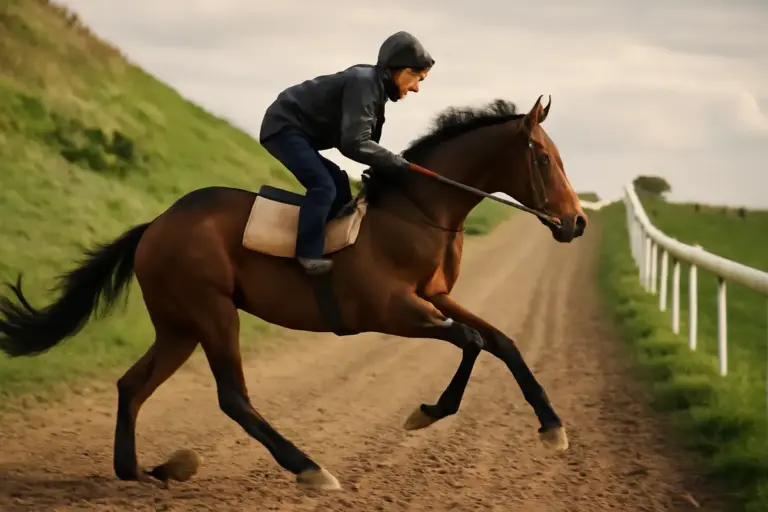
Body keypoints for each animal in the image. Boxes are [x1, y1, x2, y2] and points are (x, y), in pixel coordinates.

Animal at [0, 95, 587, 490]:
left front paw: (553, 427)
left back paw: (138, 471)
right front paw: (427, 411)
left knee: (132, 385)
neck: (419, 211)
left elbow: (501, 341)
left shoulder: (434, 298)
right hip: (212, 313)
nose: (577, 223)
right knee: (232, 397)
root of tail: (155, 225)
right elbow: (471, 340)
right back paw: (308, 468)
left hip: (178, 326)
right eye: (542, 158)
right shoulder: (391, 310)